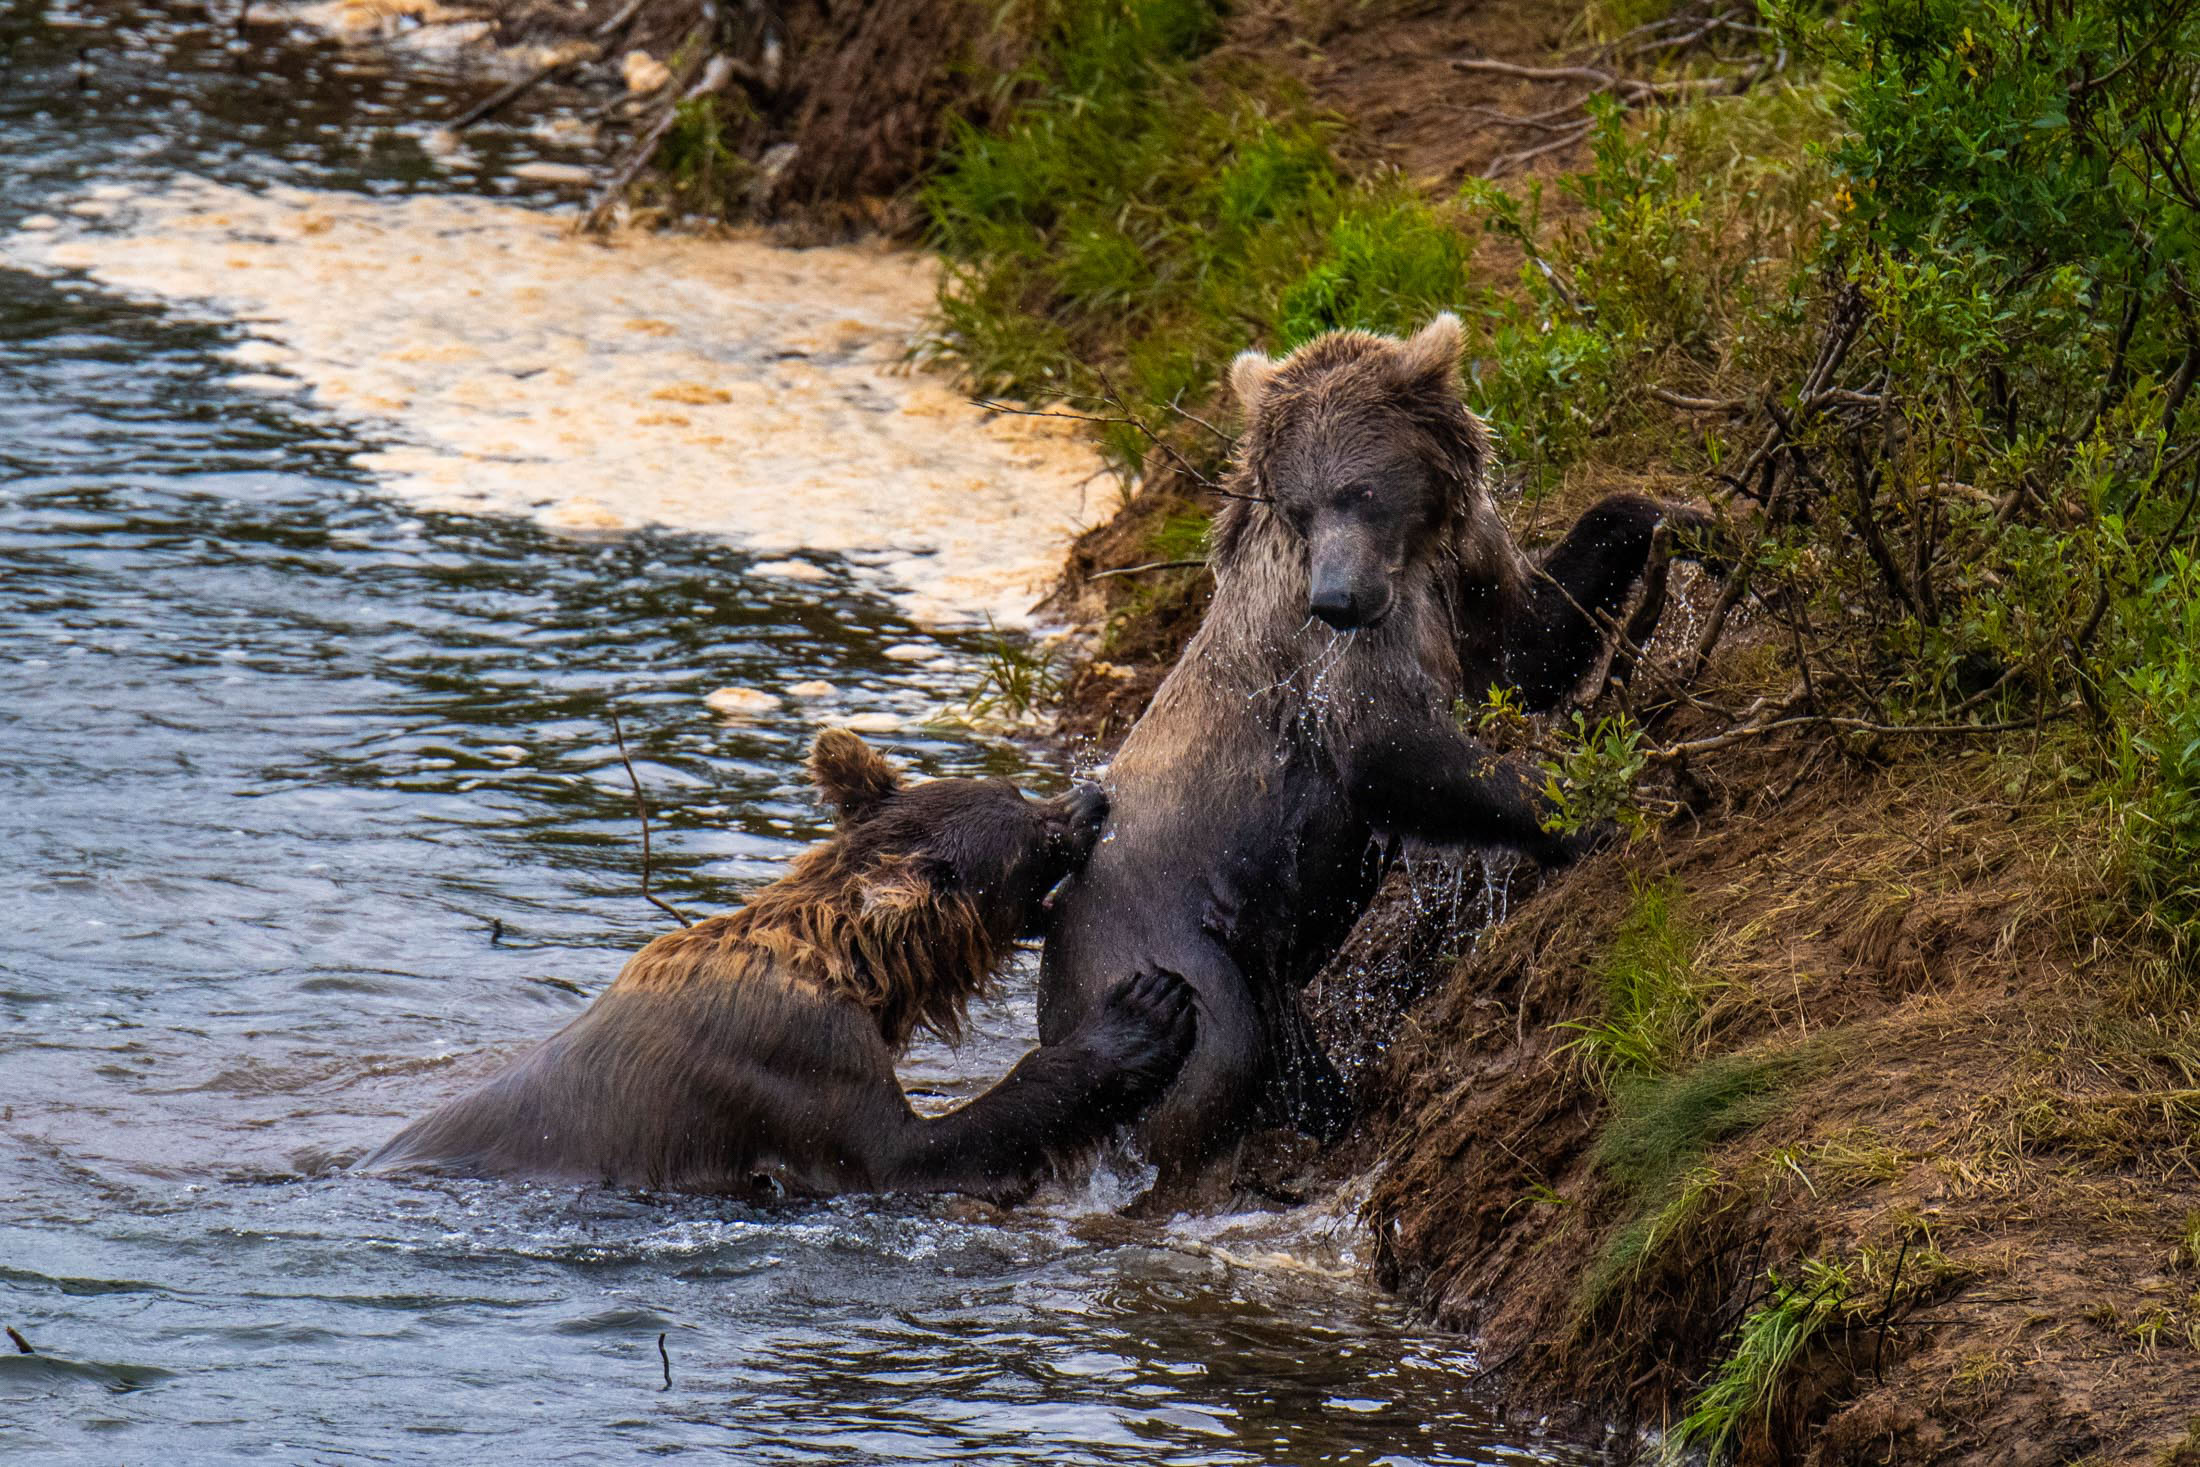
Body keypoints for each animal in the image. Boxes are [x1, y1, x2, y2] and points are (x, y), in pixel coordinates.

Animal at [365, 734, 1188, 1205]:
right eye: (1034, 840)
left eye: (1013, 789)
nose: (1092, 798)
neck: (860, 975)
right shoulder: (795, 1062)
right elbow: (912, 1152)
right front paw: (1143, 1013)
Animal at [1038, 316, 1707, 1187]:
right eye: (1297, 506)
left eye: (1359, 490)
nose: (1335, 597)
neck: (1407, 561)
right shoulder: (1333, 657)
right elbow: (1391, 750)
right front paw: (1600, 812)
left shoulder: (1464, 577)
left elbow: (1535, 640)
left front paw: (1686, 519)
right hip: (1153, 941)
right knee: (1213, 1056)